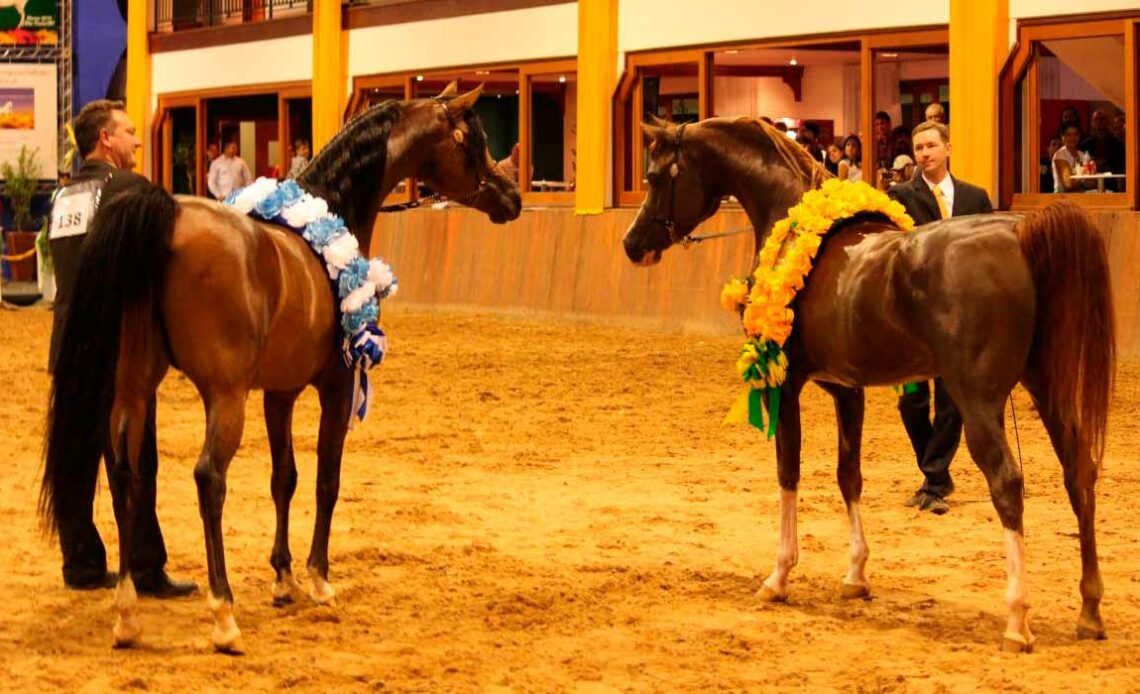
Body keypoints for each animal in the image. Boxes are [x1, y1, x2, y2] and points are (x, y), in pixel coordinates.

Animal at [39, 83, 522, 651]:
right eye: (475, 141)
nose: (511, 197)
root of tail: (168, 217)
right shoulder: (335, 386)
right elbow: (326, 480)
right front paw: (317, 579)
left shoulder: (280, 393)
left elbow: (283, 478)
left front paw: (283, 578)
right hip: (223, 395)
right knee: (209, 478)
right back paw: (223, 613)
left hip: (134, 387)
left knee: (124, 474)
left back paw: (128, 612)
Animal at [624, 116, 1112, 651]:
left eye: (655, 176)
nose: (632, 244)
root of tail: (1019, 231)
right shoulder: (847, 389)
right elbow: (848, 475)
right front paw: (856, 575)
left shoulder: (786, 385)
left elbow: (788, 472)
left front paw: (779, 577)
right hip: (1048, 389)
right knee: (1079, 472)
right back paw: (1090, 611)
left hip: (979, 400)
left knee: (1006, 481)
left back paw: (1017, 620)